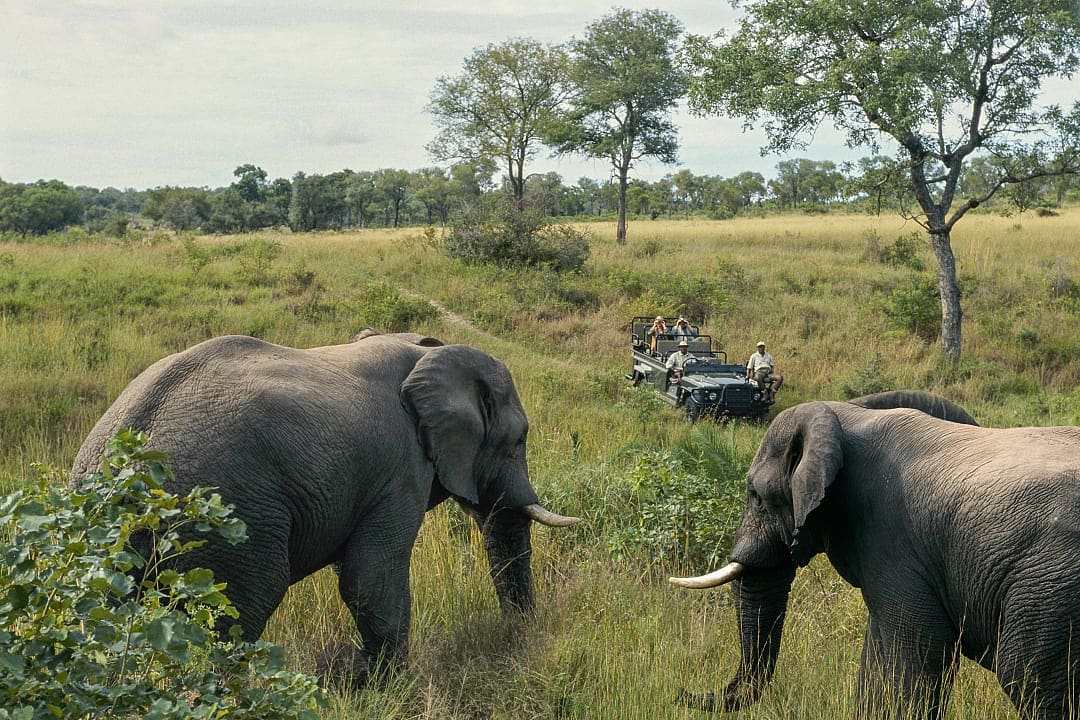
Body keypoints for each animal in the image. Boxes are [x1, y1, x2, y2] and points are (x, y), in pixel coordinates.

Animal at [71, 331, 579, 679]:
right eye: (520, 440)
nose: (520, 639)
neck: (427, 351)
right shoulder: (401, 470)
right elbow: (370, 579)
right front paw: (383, 685)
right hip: (234, 521)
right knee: (244, 610)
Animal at [670, 390, 1080, 719]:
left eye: (755, 495)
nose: (680, 692)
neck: (848, 416)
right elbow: (877, 661)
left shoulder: (894, 542)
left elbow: (918, 658)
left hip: (1050, 586)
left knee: (1029, 678)